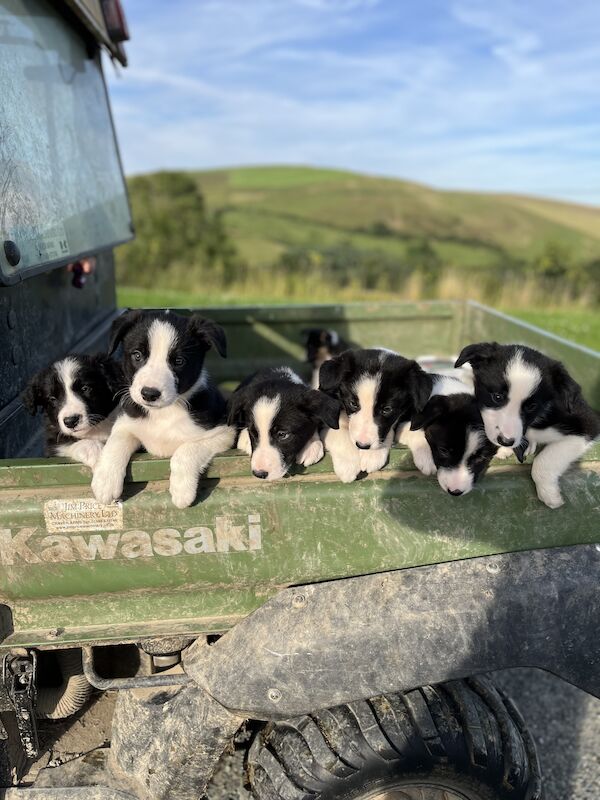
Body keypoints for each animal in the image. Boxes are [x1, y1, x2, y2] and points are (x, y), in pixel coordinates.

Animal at [92, 310, 236, 510]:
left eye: (179, 361)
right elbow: (115, 442)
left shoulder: (223, 431)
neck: (163, 413)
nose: (149, 394)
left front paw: (182, 491)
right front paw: (105, 481)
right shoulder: (126, 422)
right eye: (137, 355)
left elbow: (186, 449)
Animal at [318, 348, 468, 482]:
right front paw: (348, 465)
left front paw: (373, 454)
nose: (363, 445)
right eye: (353, 404)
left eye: (387, 409)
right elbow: (338, 431)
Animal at [454, 342, 600, 506]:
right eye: (497, 397)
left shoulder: (587, 423)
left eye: (531, 406)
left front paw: (550, 495)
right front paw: (508, 449)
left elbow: (544, 460)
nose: (506, 441)